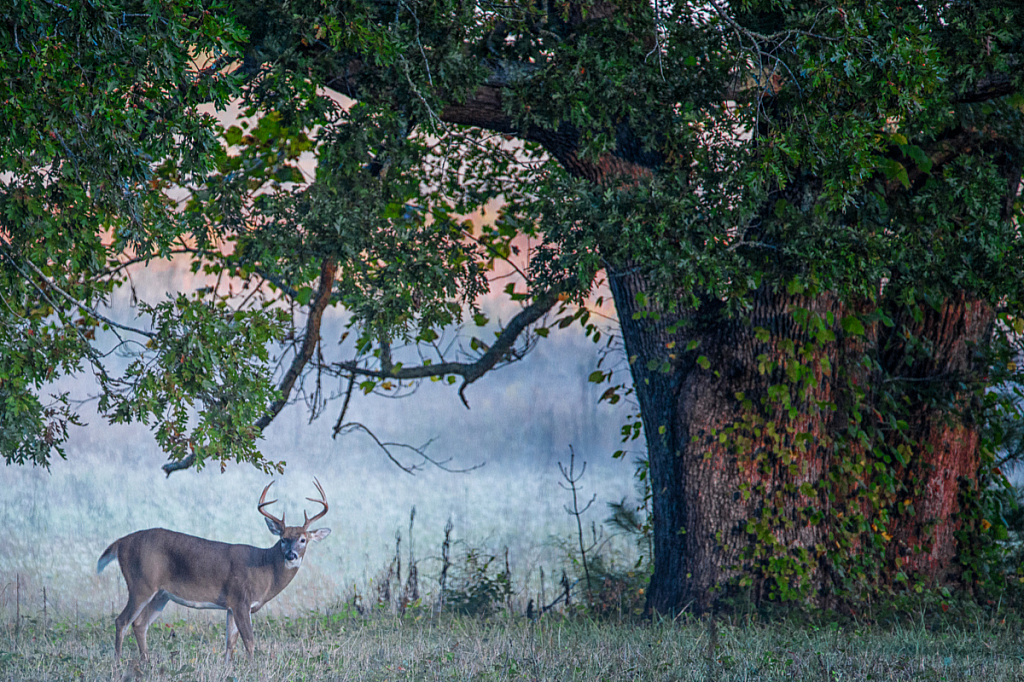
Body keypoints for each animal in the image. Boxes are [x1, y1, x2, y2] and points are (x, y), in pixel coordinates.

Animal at [94, 477, 329, 659]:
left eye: (303, 540)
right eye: (283, 539)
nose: (291, 555)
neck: (265, 569)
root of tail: (121, 543)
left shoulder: (231, 607)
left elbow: (230, 644)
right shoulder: (240, 599)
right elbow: (250, 642)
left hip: (161, 594)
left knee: (139, 624)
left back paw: (146, 662)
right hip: (140, 583)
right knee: (121, 621)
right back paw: (118, 664)